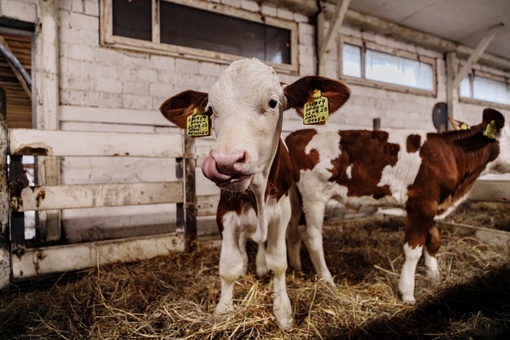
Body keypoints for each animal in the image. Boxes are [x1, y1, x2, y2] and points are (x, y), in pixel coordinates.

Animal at [159, 58, 350, 330]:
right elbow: (228, 266)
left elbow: (278, 262)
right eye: (210, 110)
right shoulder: (226, 213)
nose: (226, 160)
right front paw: (224, 310)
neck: (257, 190)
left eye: (272, 102)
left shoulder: (281, 212)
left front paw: (283, 311)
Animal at [286, 108, 510, 302]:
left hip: (296, 198)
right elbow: (413, 249)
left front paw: (434, 275)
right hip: (313, 196)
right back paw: (327, 279)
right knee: (312, 235)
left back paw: (296, 268)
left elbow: (434, 241)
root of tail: (298, 133)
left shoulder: (432, 205)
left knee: (294, 229)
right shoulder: (422, 204)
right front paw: (408, 293)